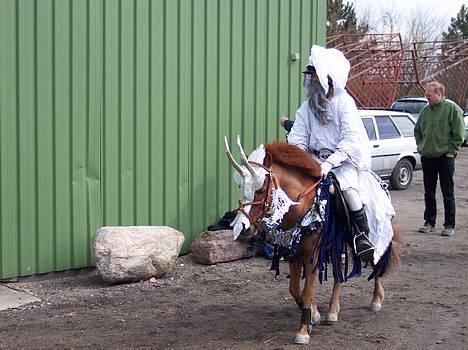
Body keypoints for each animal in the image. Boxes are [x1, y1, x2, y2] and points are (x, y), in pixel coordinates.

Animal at [225, 137, 400, 344]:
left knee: (376, 259)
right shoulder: (294, 251)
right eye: (240, 186)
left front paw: (303, 330)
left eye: (260, 190)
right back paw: (333, 310)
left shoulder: (312, 254)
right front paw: (314, 315)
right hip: (337, 242)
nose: (243, 228)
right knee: (339, 271)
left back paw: (376, 299)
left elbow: (307, 291)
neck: (301, 205)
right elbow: (294, 289)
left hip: (372, 235)